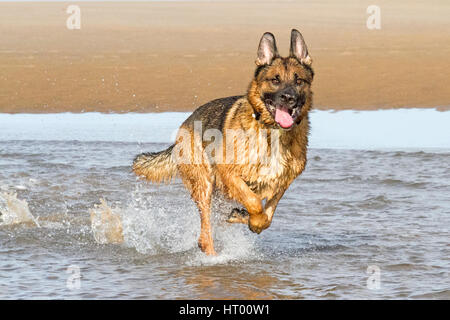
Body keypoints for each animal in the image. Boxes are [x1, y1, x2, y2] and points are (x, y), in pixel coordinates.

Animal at [134, 29, 312, 255]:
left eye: (299, 81)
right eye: (275, 80)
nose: (289, 98)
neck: (271, 132)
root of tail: (185, 124)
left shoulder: (282, 182)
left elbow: (267, 215)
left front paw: (251, 220)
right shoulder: (229, 172)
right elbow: (254, 202)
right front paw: (251, 217)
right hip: (205, 184)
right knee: (205, 233)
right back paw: (212, 255)